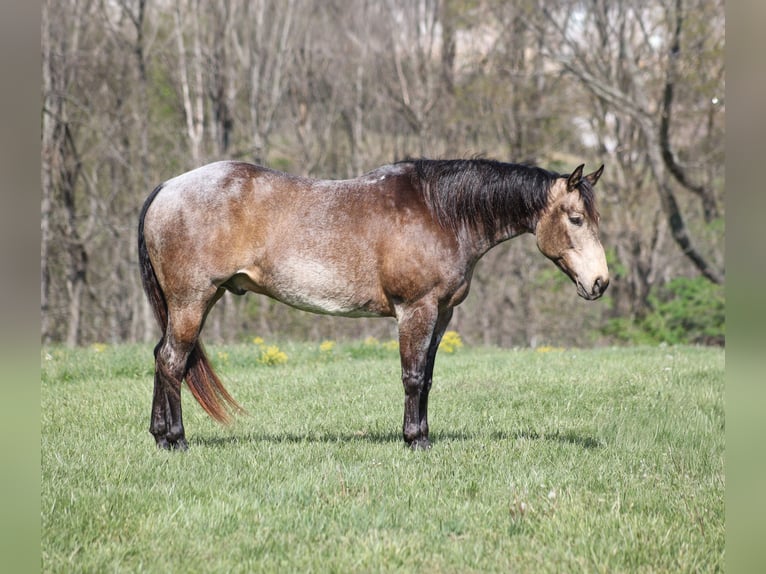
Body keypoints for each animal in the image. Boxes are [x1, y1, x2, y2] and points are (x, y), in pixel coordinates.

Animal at [138, 158, 608, 450]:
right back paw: (176, 440)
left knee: (162, 357)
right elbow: (413, 377)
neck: (440, 212)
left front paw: (423, 434)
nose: (600, 282)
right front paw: (415, 440)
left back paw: (160, 436)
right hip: (192, 301)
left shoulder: (442, 313)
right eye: (576, 219)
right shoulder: (416, 309)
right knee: (173, 361)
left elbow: (428, 378)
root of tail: (167, 188)